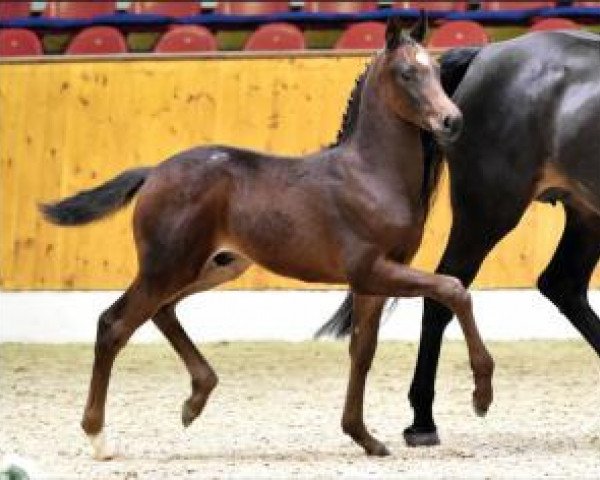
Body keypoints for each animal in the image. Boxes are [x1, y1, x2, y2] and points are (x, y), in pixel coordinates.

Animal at [39, 16, 494, 460]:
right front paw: (482, 394)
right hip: (168, 267)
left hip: (212, 267)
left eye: (435, 70)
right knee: (113, 324)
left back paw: (195, 399)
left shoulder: (373, 281)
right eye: (406, 73)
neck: (369, 174)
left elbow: (363, 351)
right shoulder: (371, 270)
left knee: (162, 312)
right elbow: (453, 289)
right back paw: (99, 437)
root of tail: (154, 172)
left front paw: (364, 437)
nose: (452, 120)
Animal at [316, 31, 596, 446]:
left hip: (585, 212)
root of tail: (488, 53)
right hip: (488, 210)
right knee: (445, 292)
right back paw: (422, 421)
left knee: (563, 284)